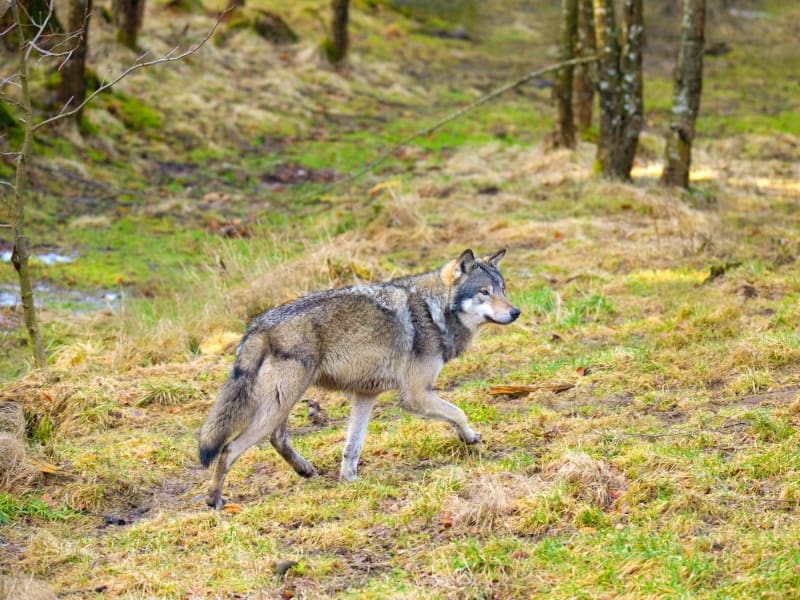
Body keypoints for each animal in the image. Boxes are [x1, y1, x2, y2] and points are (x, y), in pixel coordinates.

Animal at [198, 247, 520, 506]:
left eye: (502, 289)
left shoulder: (366, 394)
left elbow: (352, 447)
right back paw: (215, 500)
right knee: (230, 448)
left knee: (277, 438)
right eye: (484, 292)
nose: (516, 311)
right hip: (281, 402)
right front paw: (471, 438)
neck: (433, 311)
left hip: (282, 403)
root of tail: (257, 325)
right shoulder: (415, 395)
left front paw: (349, 481)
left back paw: (305, 470)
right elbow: (458, 413)